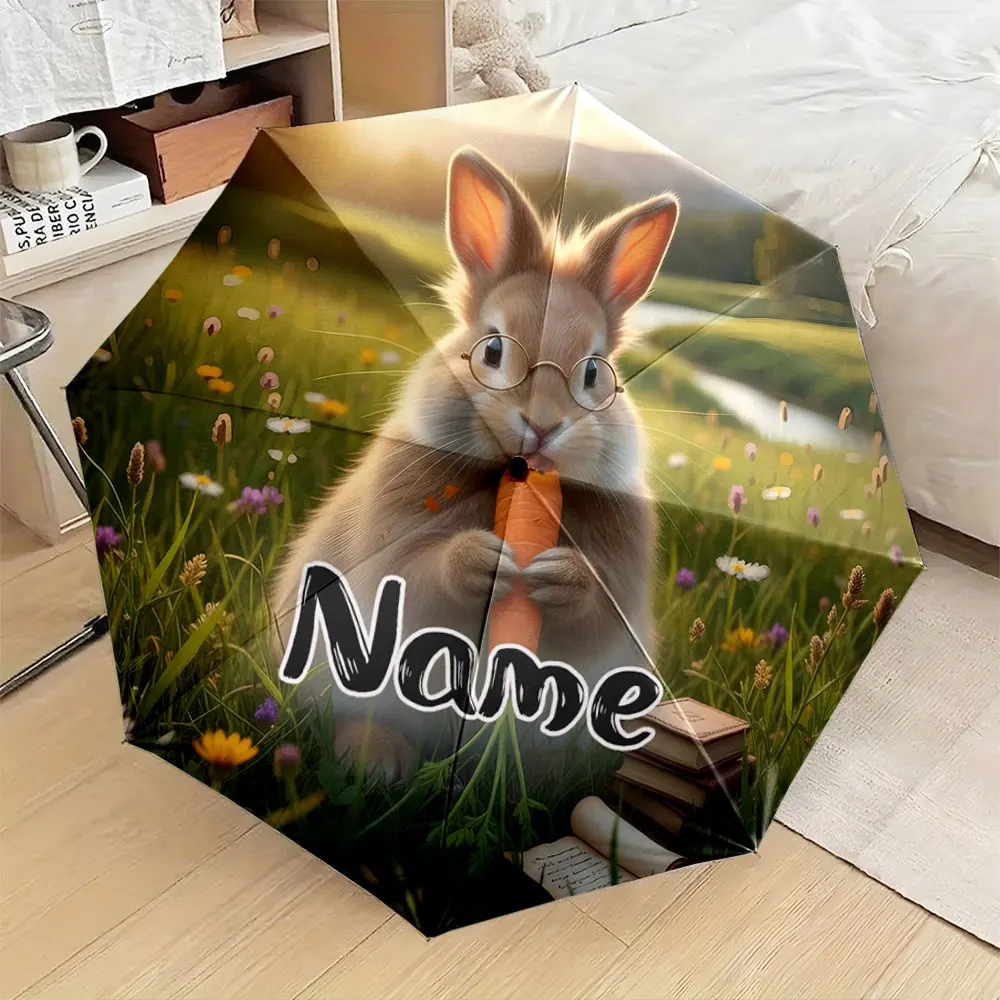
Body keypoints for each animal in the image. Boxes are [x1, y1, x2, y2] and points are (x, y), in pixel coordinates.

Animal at [272, 147, 679, 783]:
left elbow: (593, 610)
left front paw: (559, 576)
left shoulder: (618, 595)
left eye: (594, 371)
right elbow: (420, 579)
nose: (542, 425)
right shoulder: (389, 559)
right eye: (493, 350)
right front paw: (485, 564)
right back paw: (376, 760)